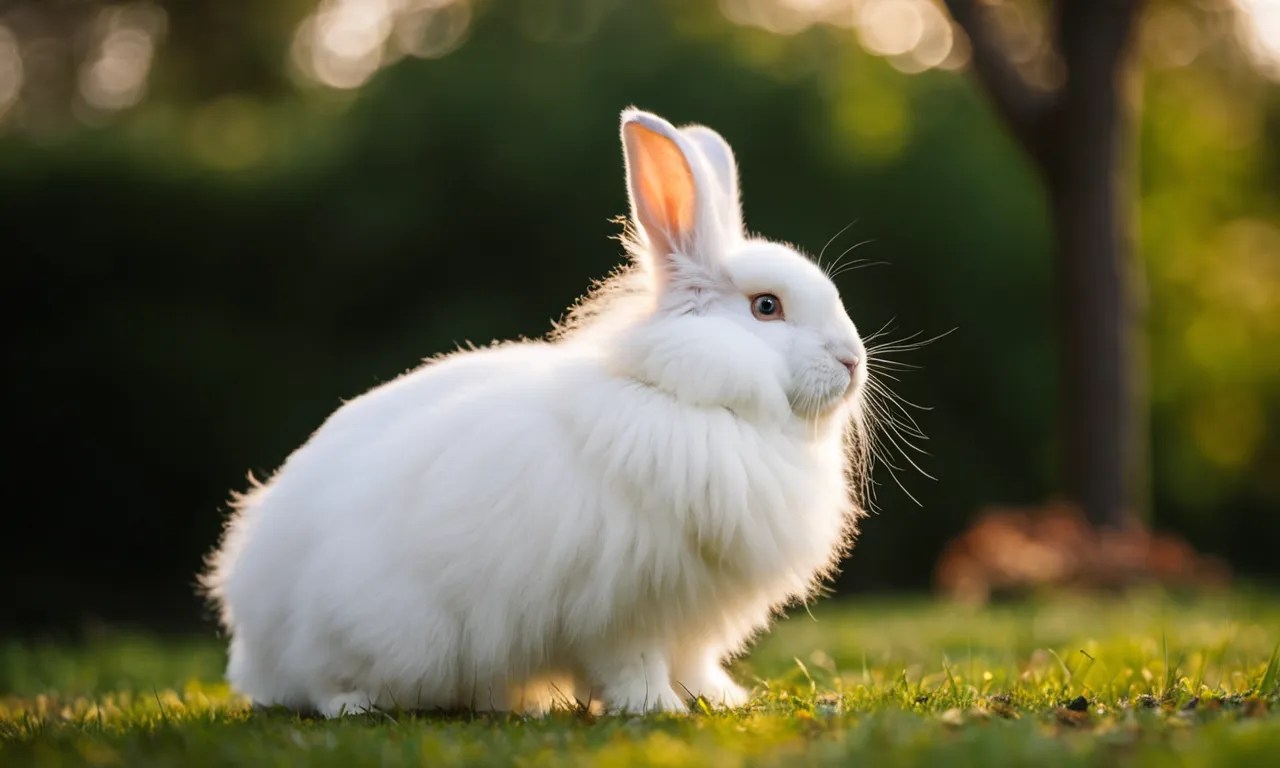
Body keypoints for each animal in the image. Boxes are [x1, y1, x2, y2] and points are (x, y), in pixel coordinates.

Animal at [202, 108, 870, 717]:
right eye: (766, 307)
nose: (852, 361)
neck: (680, 395)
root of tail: (255, 641)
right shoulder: (623, 609)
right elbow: (634, 663)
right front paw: (655, 707)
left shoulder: (689, 621)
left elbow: (694, 664)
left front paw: (721, 699)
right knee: (325, 686)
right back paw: (359, 704)